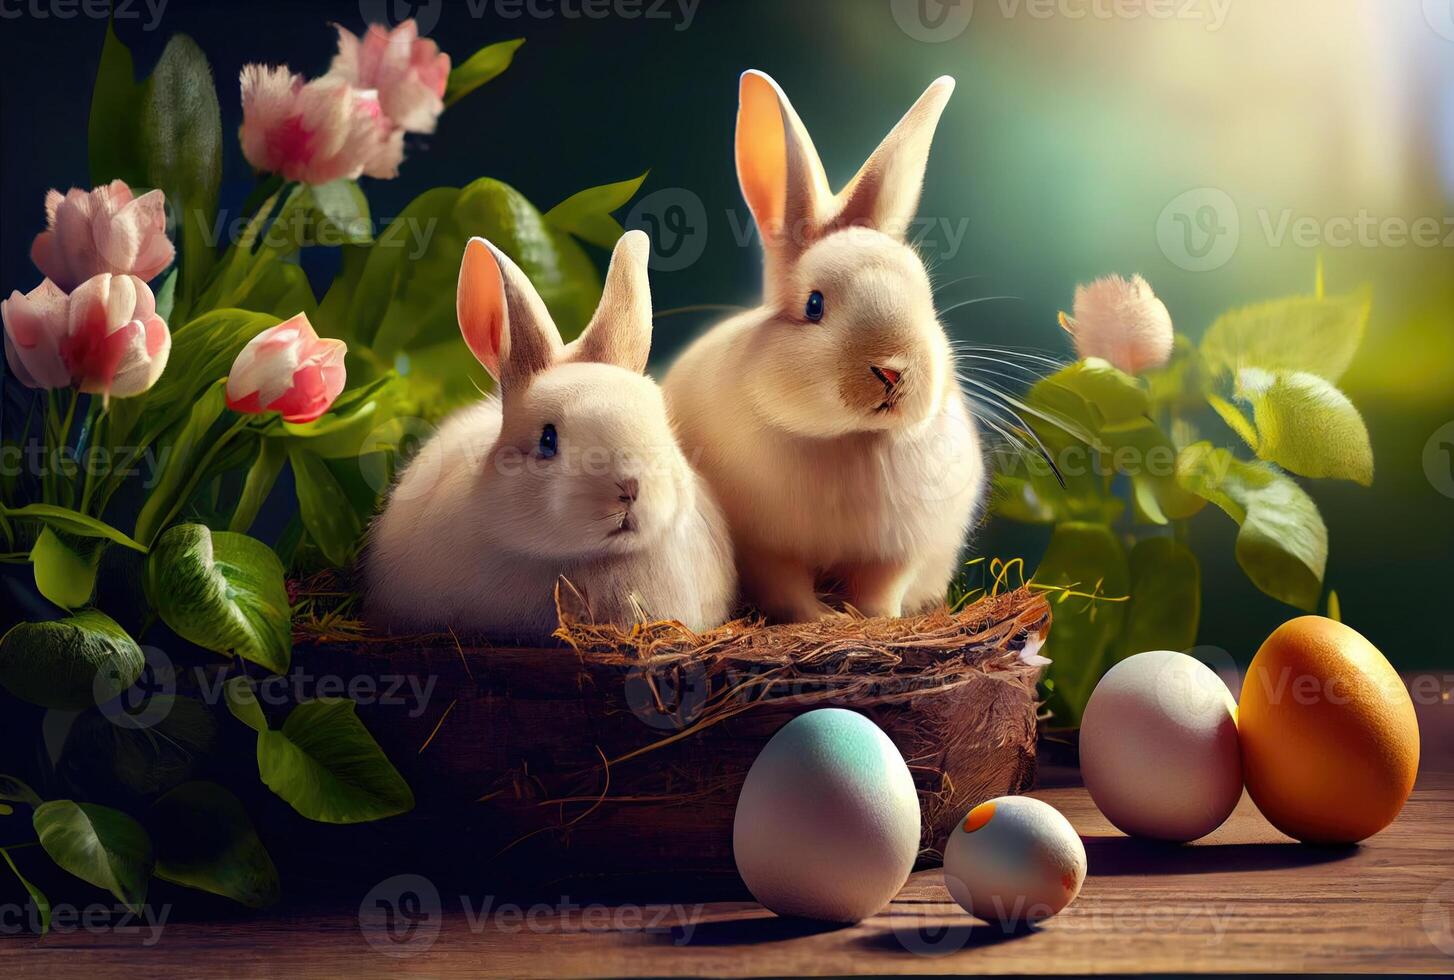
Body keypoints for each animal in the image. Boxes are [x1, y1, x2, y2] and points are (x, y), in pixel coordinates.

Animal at [662, 70, 985, 623]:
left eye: (926, 298)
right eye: (814, 305)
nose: (893, 371)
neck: (850, 439)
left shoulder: (897, 552)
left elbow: (881, 591)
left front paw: (875, 622)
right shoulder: (767, 551)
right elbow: (790, 592)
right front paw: (824, 620)